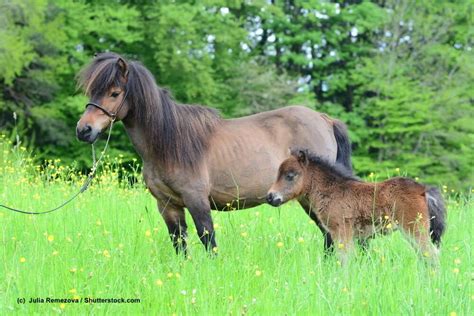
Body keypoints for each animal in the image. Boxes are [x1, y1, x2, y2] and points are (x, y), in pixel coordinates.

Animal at [77, 51, 352, 254]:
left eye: (114, 93)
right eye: (91, 92)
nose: (84, 130)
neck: (168, 144)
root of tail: (325, 119)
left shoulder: (196, 199)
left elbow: (207, 238)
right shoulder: (167, 205)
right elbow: (179, 243)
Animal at [268, 149, 446, 262]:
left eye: (290, 175)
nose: (270, 197)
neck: (332, 191)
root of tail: (423, 190)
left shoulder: (341, 232)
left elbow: (345, 259)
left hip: (415, 229)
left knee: (431, 255)